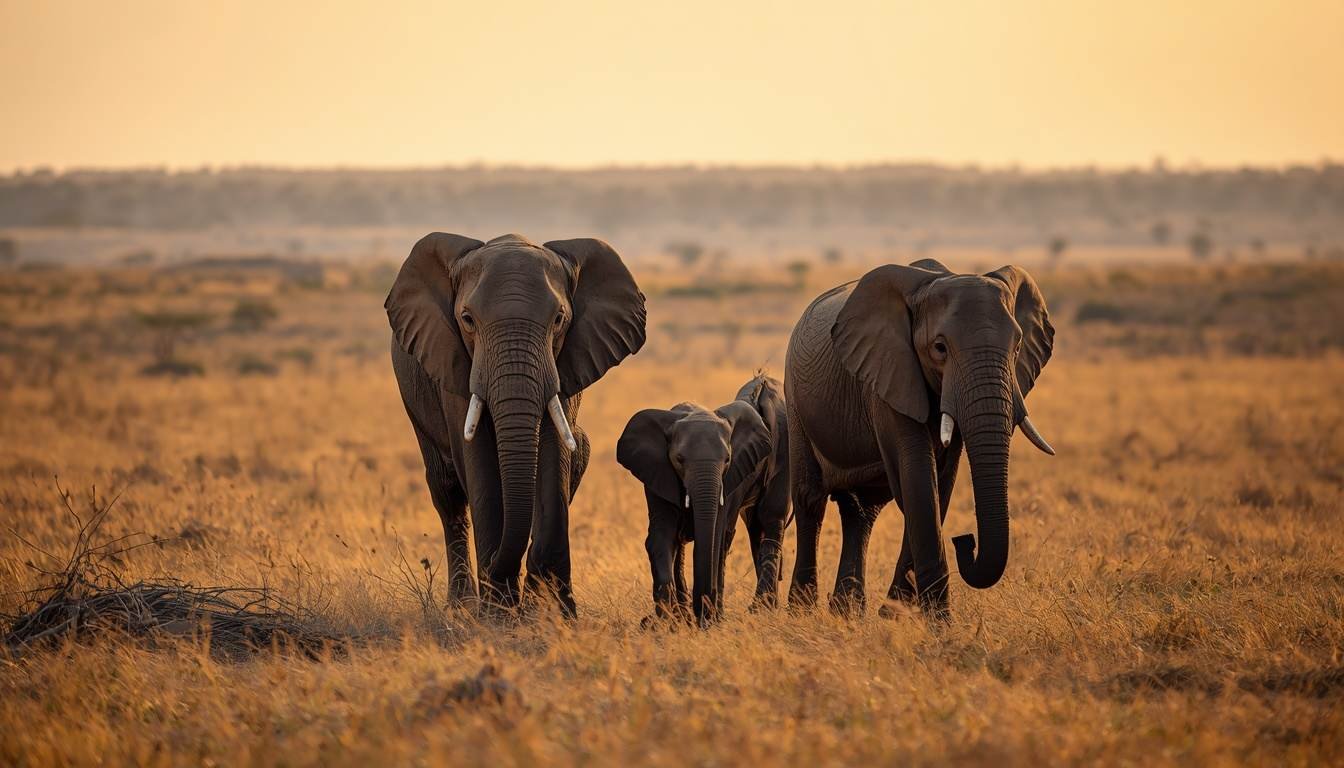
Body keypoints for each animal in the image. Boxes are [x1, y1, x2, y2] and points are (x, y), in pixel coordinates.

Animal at [387, 232, 646, 616]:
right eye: (467, 319)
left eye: (559, 319)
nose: (495, 568)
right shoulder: (456, 362)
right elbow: (477, 460)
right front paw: (498, 617)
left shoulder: (563, 362)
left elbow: (555, 455)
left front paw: (553, 615)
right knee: (447, 490)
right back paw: (461, 607)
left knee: (578, 453)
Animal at [617, 375, 790, 626]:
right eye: (679, 459)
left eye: (727, 459)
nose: (701, 616)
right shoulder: (656, 471)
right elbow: (663, 532)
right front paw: (665, 621)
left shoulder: (730, 476)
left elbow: (715, 534)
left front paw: (706, 619)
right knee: (753, 526)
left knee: (769, 519)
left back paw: (759, 610)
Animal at [784, 259, 1054, 618]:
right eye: (940, 348)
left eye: (1019, 346)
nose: (965, 541)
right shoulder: (887, 374)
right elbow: (919, 477)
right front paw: (937, 622)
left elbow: (941, 482)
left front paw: (895, 616)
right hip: (795, 401)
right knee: (810, 499)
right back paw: (802, 612)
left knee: (861, 512)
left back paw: (848, 613)